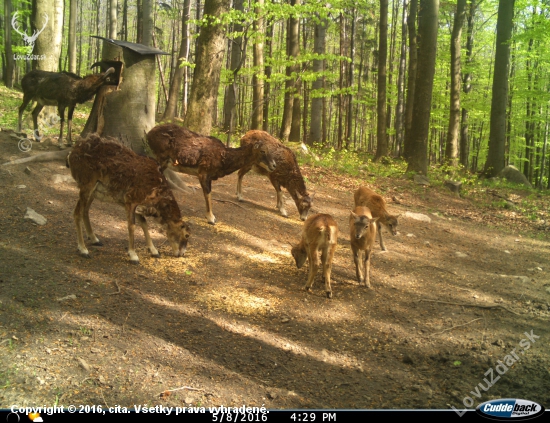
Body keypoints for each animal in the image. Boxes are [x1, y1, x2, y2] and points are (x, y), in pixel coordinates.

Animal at [67, 134, 190, 264]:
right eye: (187, 235)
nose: (181, 253)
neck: (155, 191)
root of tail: (72, 153)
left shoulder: (134, 204)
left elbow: (144, 223)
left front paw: (154, 251)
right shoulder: (130, 200)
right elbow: (132, 226)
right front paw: (133, 256)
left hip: (93, 192)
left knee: (85, 211)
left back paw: (95, 239)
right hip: (86, 185)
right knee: (77, 213)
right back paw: (83, 250)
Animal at [148, 123, 278, 225]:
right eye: (263, 151)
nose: (274, 165)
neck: (224, 157)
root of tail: (149, 133)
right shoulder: (203, 173)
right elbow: (208, 194)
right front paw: (211, 219)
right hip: (161, 158)